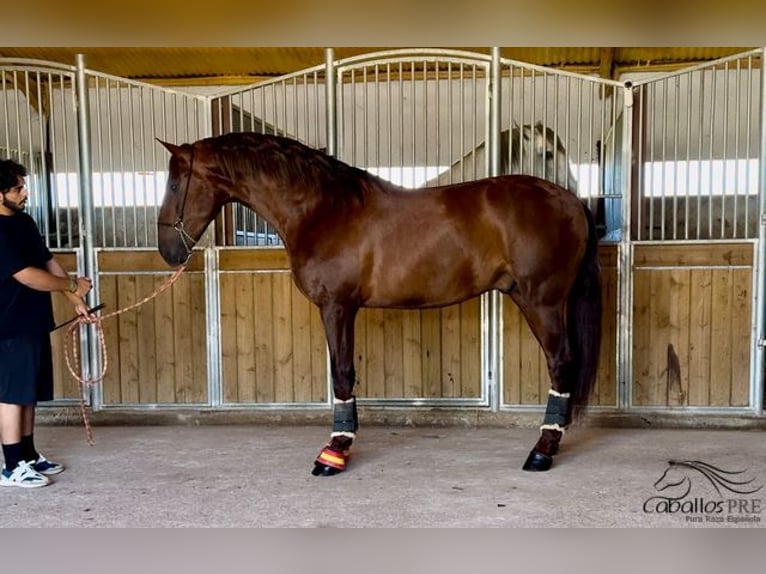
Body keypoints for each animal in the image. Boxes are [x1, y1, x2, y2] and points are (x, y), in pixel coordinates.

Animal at [154, 133, 600, 474]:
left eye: (174, 185)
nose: (167, 251)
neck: (323, 209)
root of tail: (570, 201)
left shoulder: (337, 306)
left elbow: (342, 375)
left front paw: (334, 453)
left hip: (542, 301)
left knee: (561, 363)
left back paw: (542, 452)